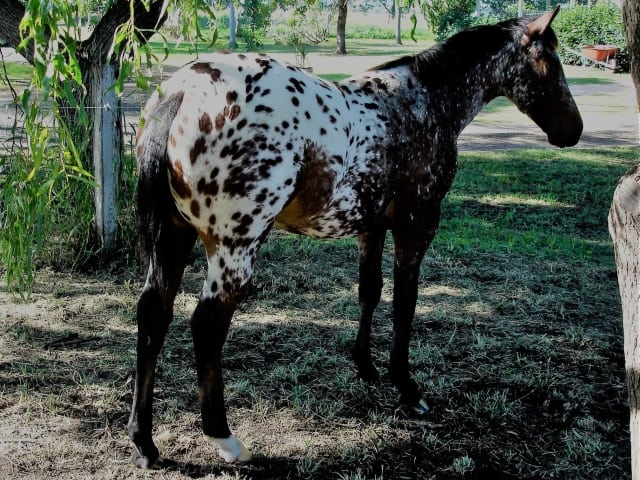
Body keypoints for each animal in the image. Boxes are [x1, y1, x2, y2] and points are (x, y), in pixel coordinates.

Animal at [127, 6, 584, 464]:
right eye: (552, 62)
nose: (574, 130)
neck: (423, 102)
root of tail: (183, 91)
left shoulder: (371, 227)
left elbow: (370, 291)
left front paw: (365, 366)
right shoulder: (417, 225)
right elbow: (405, 301)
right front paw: (406, 387)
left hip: (173, 236)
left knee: (154, 314)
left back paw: (144, 441)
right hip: (233, 247)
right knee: (206, 325)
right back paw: (224, 438)